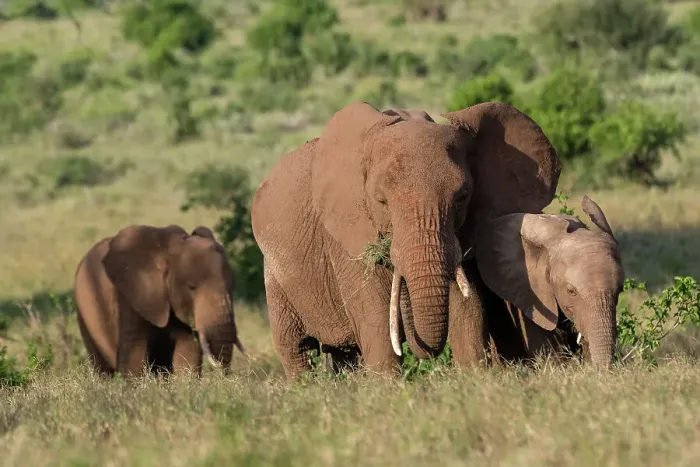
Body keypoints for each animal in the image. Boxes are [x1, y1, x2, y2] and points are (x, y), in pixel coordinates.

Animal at [251, 100, 561, 379]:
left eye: (462, 197)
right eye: (381, 201)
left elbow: (467, 309)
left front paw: (475, 382)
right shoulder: (345, 236)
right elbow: (376, 317)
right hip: (275, 276)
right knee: (296, 349)